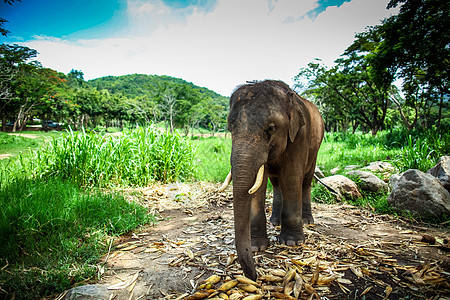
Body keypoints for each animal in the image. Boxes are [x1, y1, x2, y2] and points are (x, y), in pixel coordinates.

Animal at [219, 80, 322, 282]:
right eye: (230, 129)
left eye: (271, 129)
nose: (255, 277)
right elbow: (258, 184)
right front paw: (257, 246)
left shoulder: (300, 135)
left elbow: (291, 176)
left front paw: (292, 242)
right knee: (276, 185)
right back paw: (275, 222)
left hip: (316, 148)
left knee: (305, 181)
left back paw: (307, 221)